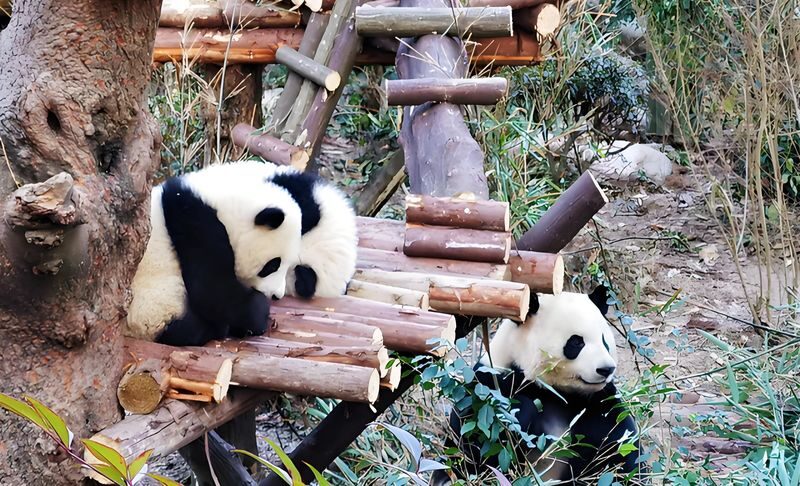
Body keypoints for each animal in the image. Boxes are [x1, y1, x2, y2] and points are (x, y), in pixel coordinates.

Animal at [125, 164, 303, 347]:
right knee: (188, 329)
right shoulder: (194, 221)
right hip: (153, 308)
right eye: (273, 265)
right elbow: (213, 290)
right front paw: (260, 312)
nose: (277, 296)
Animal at [432, 286, 640, 485]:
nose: (606, 369)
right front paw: (520, 413)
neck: (557, 392)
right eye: (576, 342)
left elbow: (619, 441)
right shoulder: (491, 382)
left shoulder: (595, 402)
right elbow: (474, 439)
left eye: (605, 342)